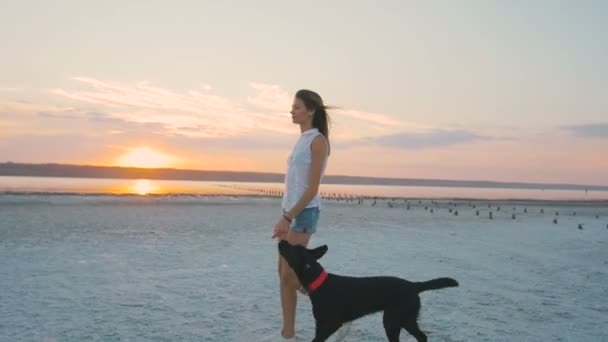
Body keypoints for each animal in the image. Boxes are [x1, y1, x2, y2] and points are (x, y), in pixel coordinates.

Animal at [278, 239, 458, 340]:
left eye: (293, 249)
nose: (281, 241)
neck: (320, 283)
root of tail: (414, 285)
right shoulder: (320, 323)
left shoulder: (333, 323)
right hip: (406, 319)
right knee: (422, 336)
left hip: (393, 320)